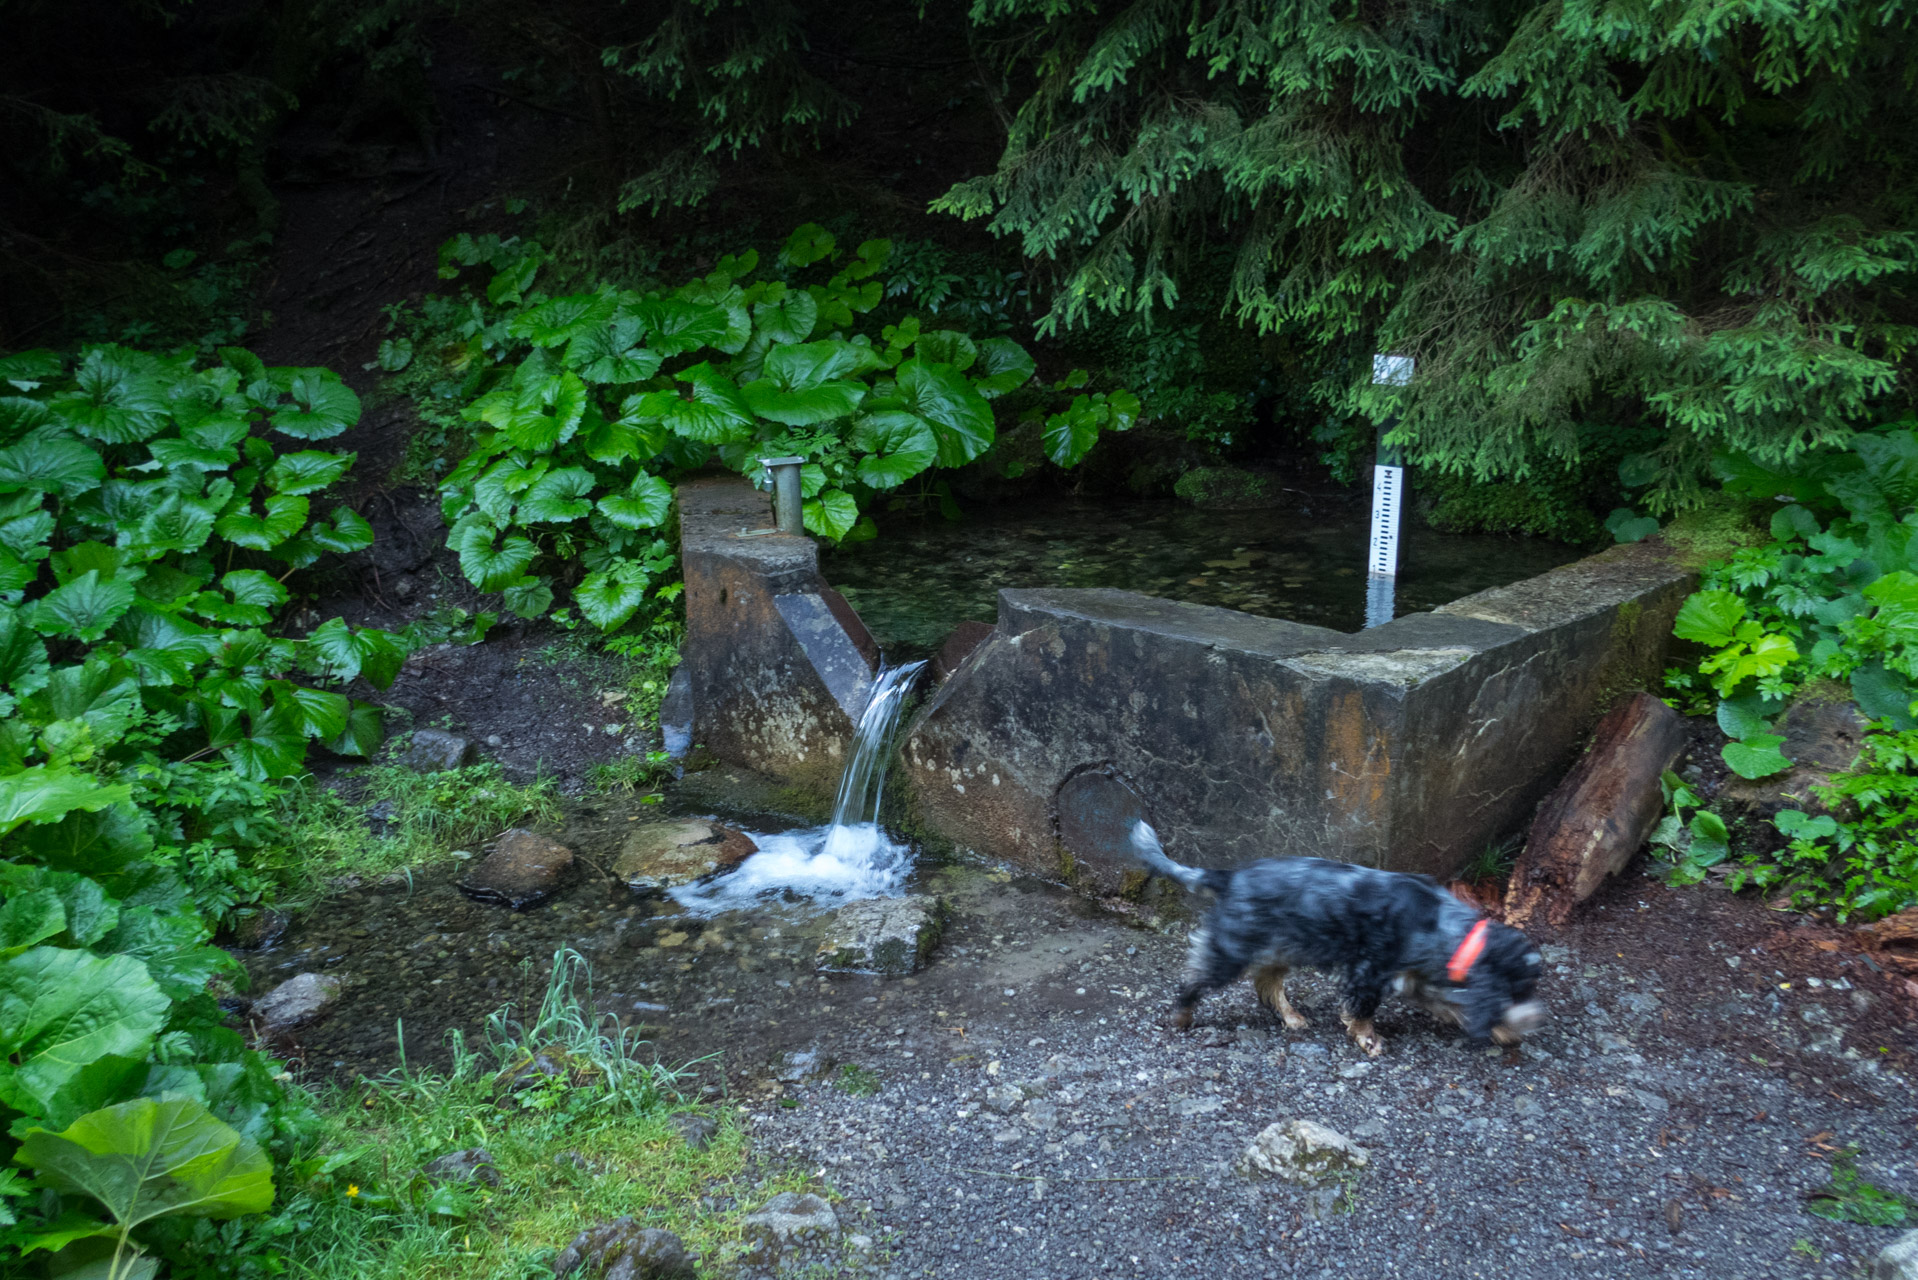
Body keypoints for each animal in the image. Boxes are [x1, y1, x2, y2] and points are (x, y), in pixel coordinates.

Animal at [1127, 825, 1549, 1059]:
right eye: (1520, 989)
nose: (1537, 1018)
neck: (1443, 923)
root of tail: (1228, 877)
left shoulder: (1418, 976)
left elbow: (1453, 1004)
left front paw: (1503, 1031)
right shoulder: (1368, 972)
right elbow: (1362, 1011)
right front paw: (1369, 1040)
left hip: (1282, 946)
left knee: (1266, 983)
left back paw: (1293, 1017)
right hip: (1231, 949)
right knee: (1195, 979)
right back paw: (1181, 1017)